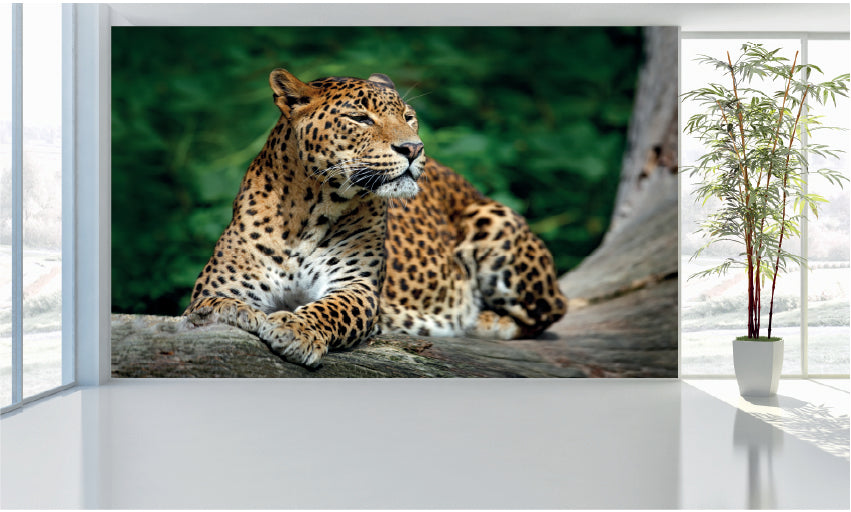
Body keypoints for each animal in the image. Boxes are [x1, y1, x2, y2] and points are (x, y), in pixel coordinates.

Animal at [183, 69, 568, 367]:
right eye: (360, 118)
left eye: (409, 117)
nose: (414, 148)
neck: (308, 212)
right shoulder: (219, 284)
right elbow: (211, 305)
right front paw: (236, 313)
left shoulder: (357, 287)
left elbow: (330, 309)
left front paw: (294, 330)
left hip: (492, 219)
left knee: (551, 310)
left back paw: (481, 319)